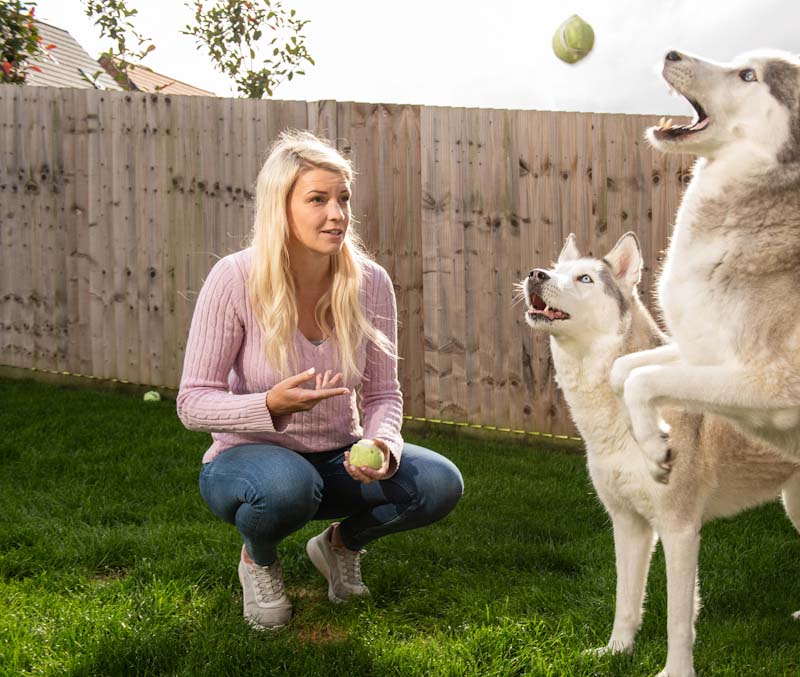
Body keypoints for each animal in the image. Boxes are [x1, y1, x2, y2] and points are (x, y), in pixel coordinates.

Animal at [520, 230, 796, 672]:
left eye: (584, 278)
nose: (534, 274)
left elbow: (678, 619)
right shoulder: (628, 524)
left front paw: (676, 671)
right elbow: (625, 601)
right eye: (554, 268)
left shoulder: (679, 529)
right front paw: (617, 651)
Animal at [608, 50, 800, 484]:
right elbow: (622, 370)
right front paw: (650, 436)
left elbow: (641, 379)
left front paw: (653, 447)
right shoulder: (700, 356)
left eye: (747, 75)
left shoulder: (772, 387)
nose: (671, 53)